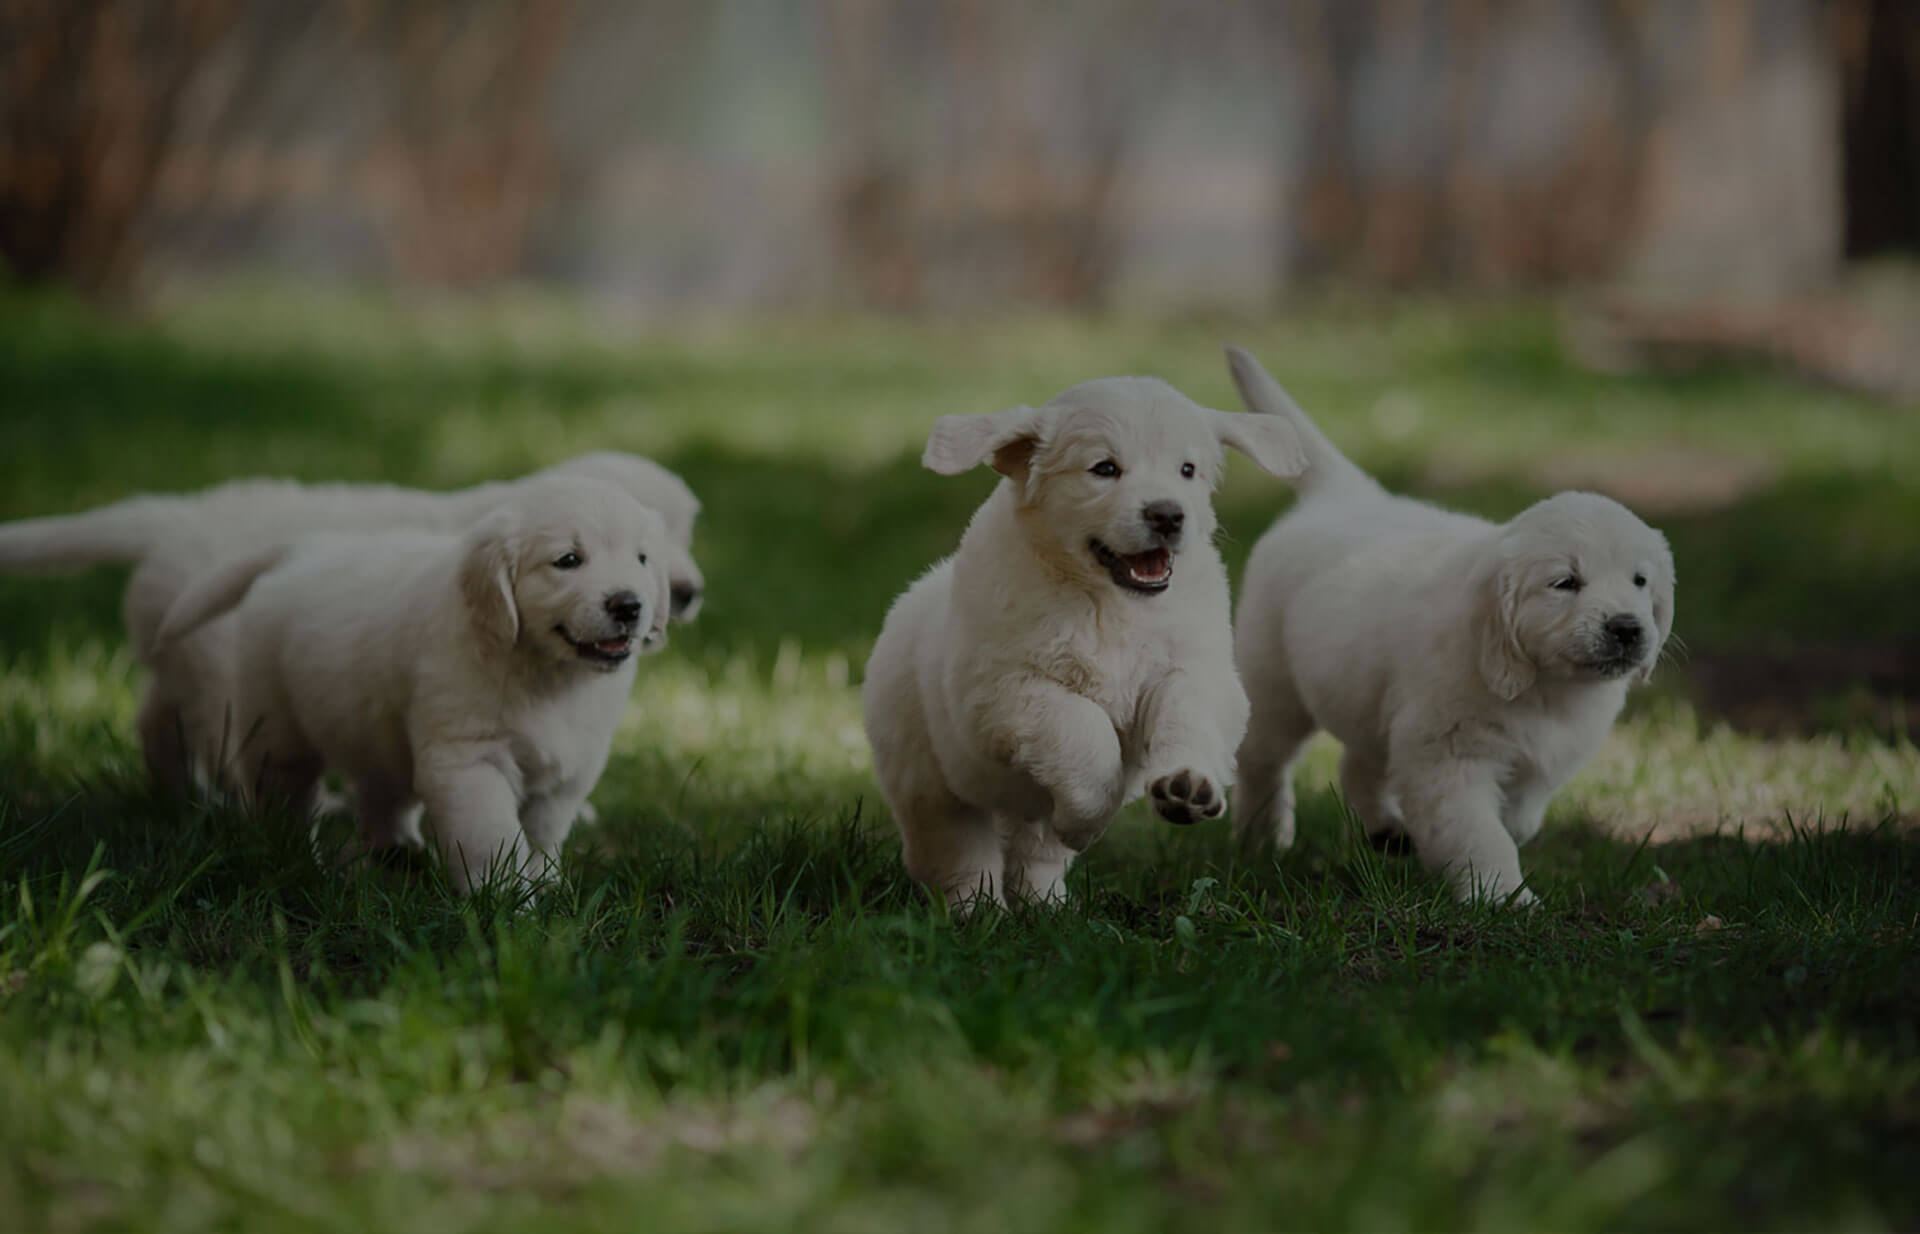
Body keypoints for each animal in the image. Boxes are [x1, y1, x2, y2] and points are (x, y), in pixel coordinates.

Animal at [0, 450, 706, 790]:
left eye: (683, 531)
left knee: (154, 718)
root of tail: (170, 518)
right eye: (573, 558)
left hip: (181, 654)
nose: (687, 593)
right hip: (221, 666)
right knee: (217, 737)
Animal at [151, 477, 675, 894]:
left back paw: (398, 854)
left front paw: (545, 885)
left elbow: (542, 834)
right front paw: (504, 900)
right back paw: (295, 855)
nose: (628, 605)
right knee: (285, 793)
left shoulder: (570, 772)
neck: (546, 674)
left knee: (381, 793)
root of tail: (304, 550)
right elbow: (492, 835)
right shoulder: (469, 760)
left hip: (376, 729)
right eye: (567, 560)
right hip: (277, 726)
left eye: (642, 559)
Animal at [867, 374, 1305, 905]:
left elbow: (1188, 715)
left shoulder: (1194, 668)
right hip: (928, 779)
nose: (1167, 515)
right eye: (1104, 469)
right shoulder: (999, 691)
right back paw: (980, 910)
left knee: (1035, 855)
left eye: (1187, 469)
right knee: (957, 853)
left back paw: (1047, 905)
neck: (1108, 602)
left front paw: (1187, 786)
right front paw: (1089, 819)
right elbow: (1082, 728)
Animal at [1221, 343, 1674, 901]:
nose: (1627, 628)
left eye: (1640, 581)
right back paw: (1261, 838)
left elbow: (1520, 816)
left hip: (1369, 696)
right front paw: (1503, 897)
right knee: (1263, 763)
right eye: (1565, 583)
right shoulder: (1448, 756)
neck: (1544, 687)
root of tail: (1345, 496)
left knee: (1358, 763)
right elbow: (1481, 833)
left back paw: (1385, 831)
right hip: (1273, 684)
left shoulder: (1539, 760)